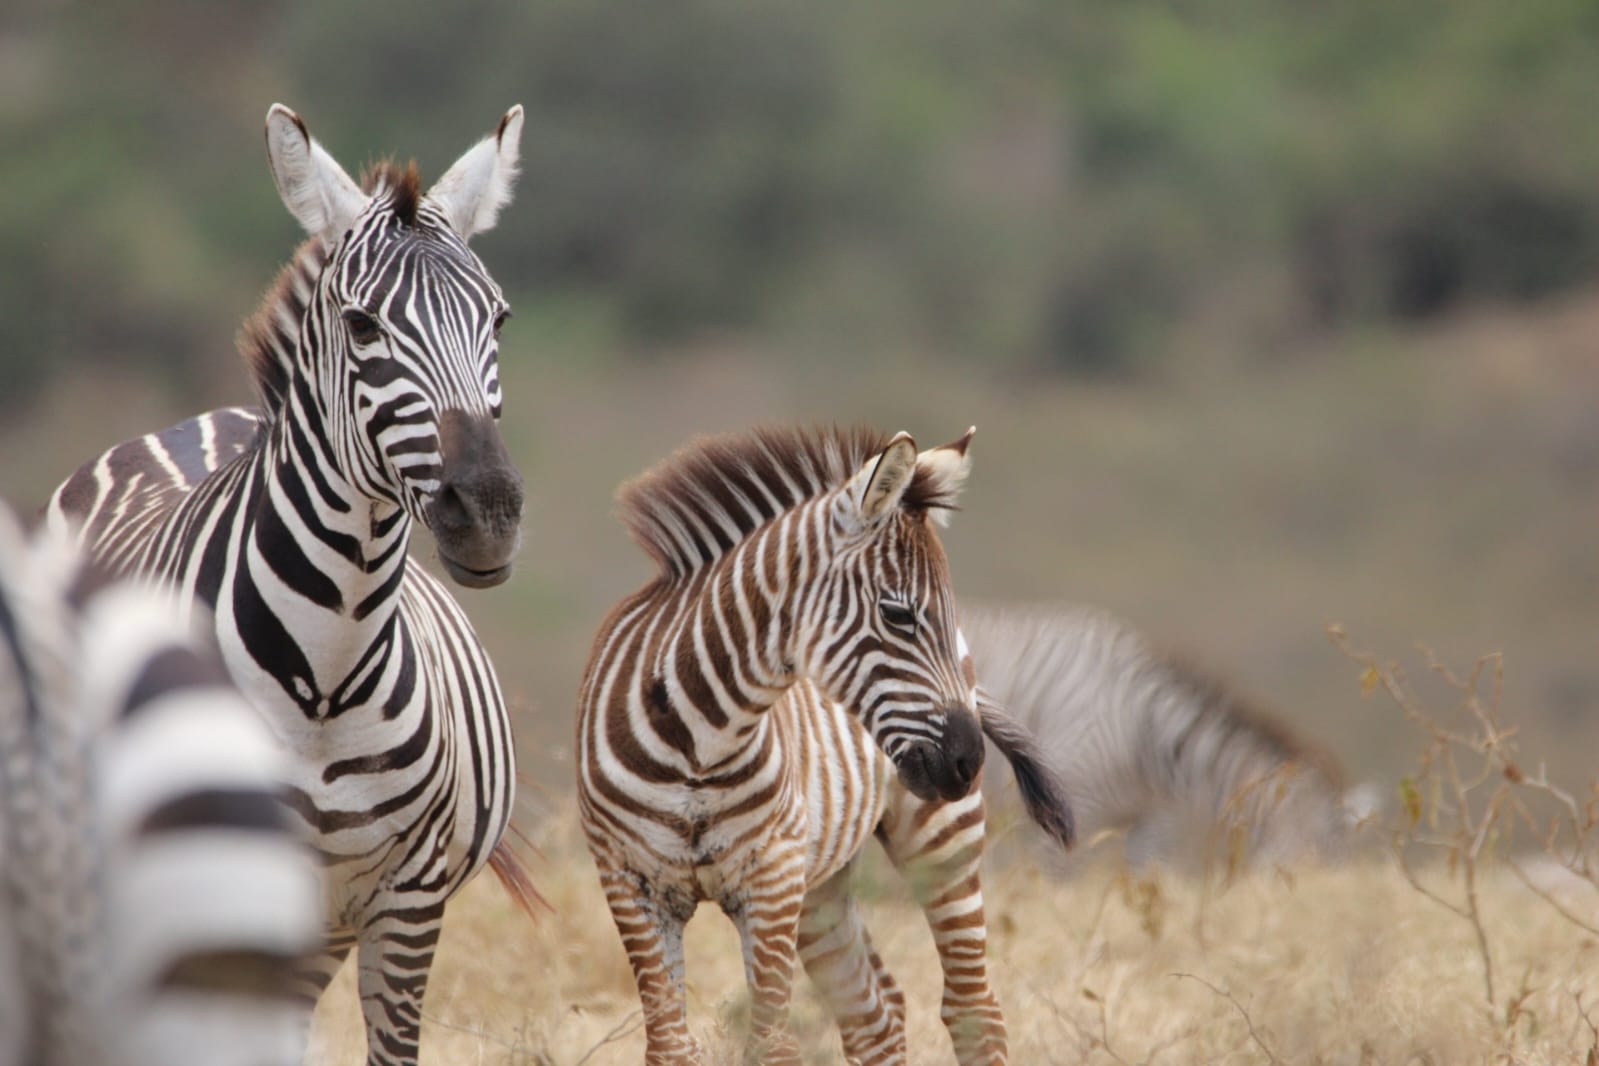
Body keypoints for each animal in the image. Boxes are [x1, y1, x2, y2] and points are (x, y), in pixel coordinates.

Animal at [43, 104, 537, 1065]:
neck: (328, 673)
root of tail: (203, 419)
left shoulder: (407, 900)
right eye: (362, 326)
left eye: (497, 319)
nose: (488, 513)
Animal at [577, 424, 1074, 1066]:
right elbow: (669, 1045)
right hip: (822, 887)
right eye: (897, 614)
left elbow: (771, 1043)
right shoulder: (628, 881)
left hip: (940, 840)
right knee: (875, 1014)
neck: (698, 743)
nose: (969, 762)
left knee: (973, 1010)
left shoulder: (771, 881)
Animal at [962, 601, 1377, 873]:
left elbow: (1145, 882)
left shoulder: (1150, 819)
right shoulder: (1071, 803)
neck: (1146, 735)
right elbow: (1053, 879)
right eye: (1318, 859)